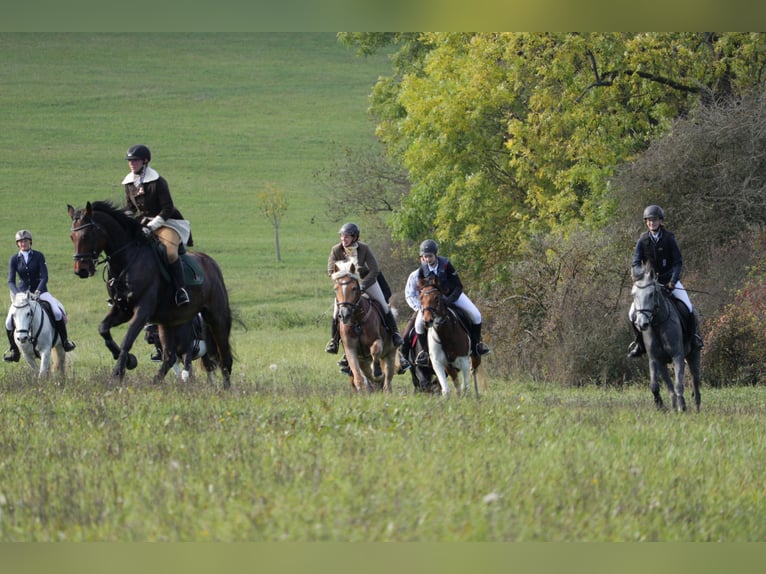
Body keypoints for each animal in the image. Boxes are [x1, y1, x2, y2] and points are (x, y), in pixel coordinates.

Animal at [68, 202, 234, 392]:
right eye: (72, 236)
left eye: (87, 235)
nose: (81, 270)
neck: (127, 261)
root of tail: (211, 264)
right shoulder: (122, 310)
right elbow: (103, 329)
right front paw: (129, 361)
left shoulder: (142, 311)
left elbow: (127, 339)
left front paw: (117, 373)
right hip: (169, 321)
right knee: (169, 357)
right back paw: (155, 383)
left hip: (216, 316)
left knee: (224, 356)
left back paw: (226, 389)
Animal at [332, 262, 400, 394]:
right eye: (336, 288)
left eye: (354, 288)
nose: (344, 315)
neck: (357, 321)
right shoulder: (350, 349)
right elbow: (357, 376)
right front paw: (361, 392)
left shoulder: (377, 341)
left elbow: (375, 350)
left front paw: (377, 371)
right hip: (363, 361)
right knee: (369, 376)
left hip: (390, 354)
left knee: (387, 380)